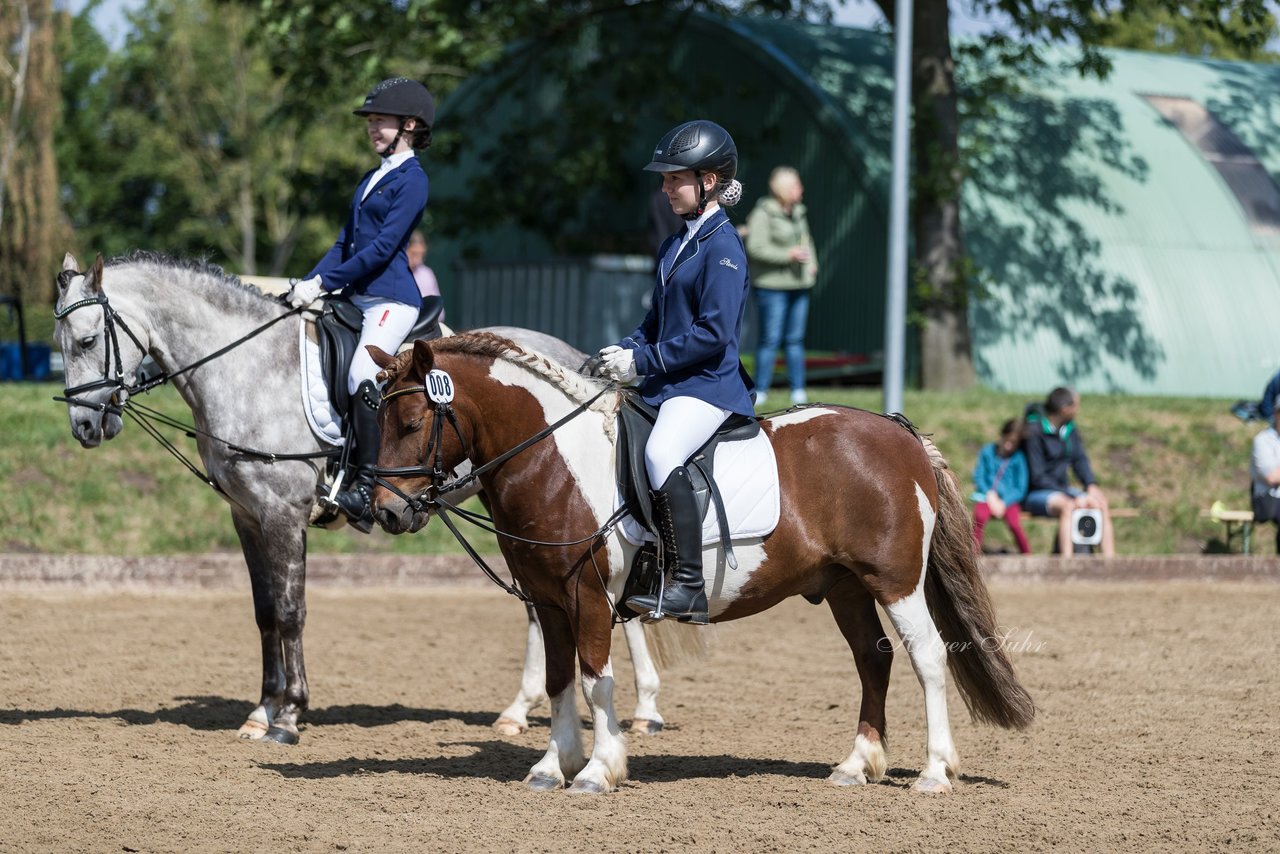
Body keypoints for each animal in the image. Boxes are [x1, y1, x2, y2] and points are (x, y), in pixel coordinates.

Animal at [366, 332, 1034, 793]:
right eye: (377, 421)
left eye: (412, 421)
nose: (387, 512)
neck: (556, 457)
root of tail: (900, 433)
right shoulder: (548, 600)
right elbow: (559, 681)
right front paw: (553, 766)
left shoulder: (587, 596)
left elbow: (595, 679)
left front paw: (598, 769)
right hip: (845, 586)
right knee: (874, 659)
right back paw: (856, 763)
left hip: (895, 583)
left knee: (928, 659)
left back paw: (934, 772)